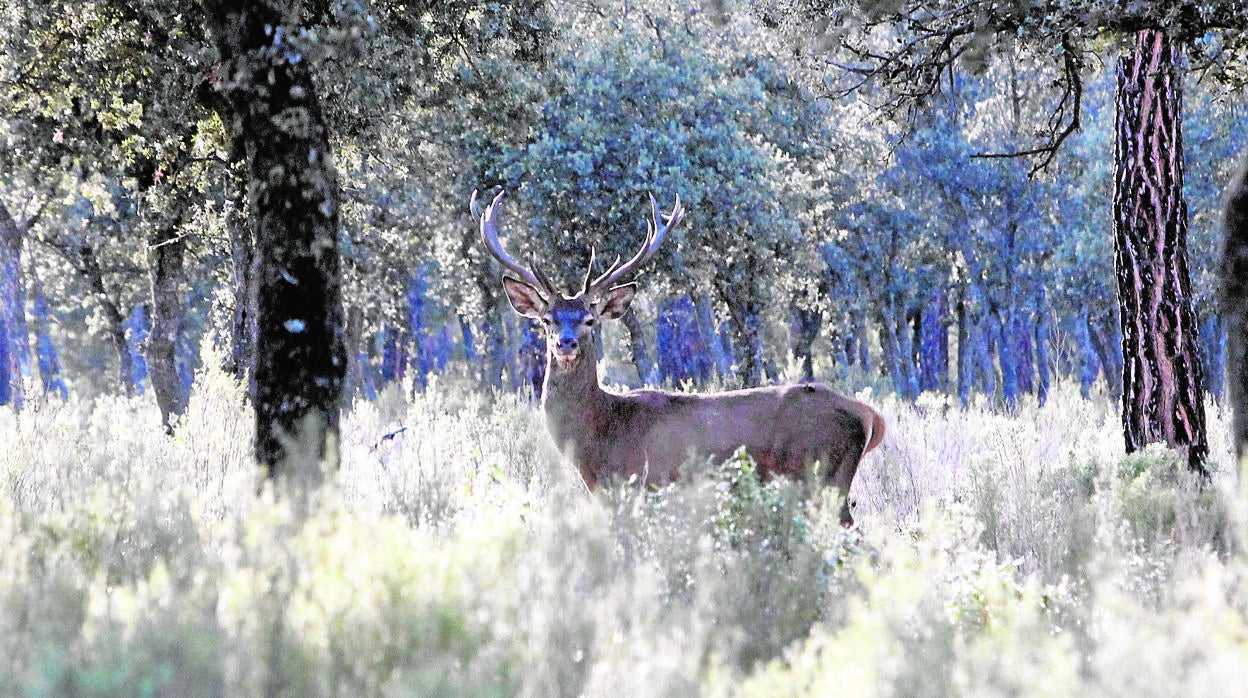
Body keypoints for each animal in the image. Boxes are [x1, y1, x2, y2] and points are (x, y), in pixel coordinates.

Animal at [469, 189, 888, 524]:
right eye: (547, 320)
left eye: (590, 319)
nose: (566, 343)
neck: (600, 436)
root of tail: (868, 416)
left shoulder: (643, 485)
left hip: (824, 477)